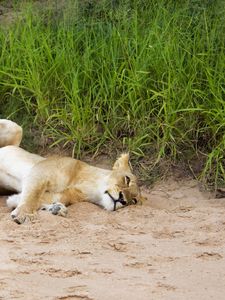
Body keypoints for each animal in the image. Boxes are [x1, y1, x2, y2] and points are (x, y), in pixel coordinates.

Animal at [0, 119, 141, 223]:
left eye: (134, 201)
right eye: (127, 179)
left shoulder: (58, 195)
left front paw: (55, 208)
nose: (123, 200)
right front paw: (24, 214)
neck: (90, 187)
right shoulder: (40, 171)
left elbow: (23, 199)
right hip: (15, 128)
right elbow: (33, 194)